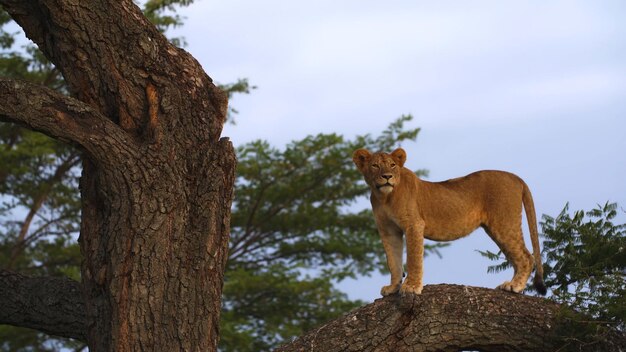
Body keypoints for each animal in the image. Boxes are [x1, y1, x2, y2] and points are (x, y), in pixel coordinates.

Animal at [354, 147, 544, 296]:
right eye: (375, 165)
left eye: (392, 165)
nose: (387, 176)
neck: (384, 197)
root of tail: (516, 178)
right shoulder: (388, 231)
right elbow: (393, 261)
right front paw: (393, 287)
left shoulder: (414, 224)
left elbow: (413, 258)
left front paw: (411, 287)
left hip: (504, 223)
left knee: (527, 257)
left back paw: (514, 286)